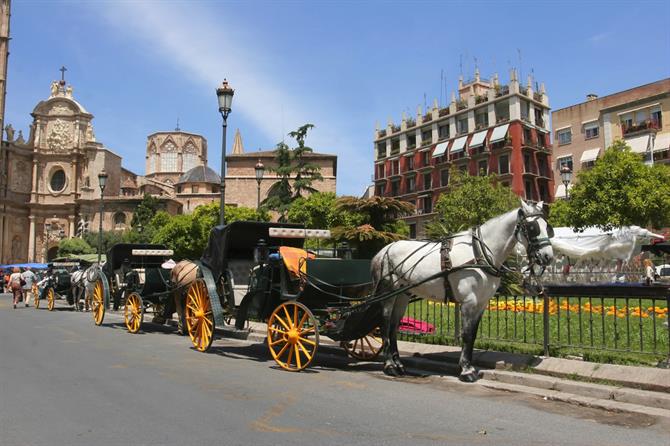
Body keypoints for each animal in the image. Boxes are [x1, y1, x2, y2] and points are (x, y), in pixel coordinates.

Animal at [372, 200, 556, 382]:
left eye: (547, 227)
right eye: (532, 227)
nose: (548, 257)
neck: (479, 253)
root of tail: (383, 251)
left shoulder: (481, 303)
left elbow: (472, 335)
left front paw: (468, 365)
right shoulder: (468, 302)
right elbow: (466, 335)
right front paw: (466, 370)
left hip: (402, 295)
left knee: (394, 326)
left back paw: (398, 363)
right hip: (388, 293)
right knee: (385, 323)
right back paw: (390, 365)